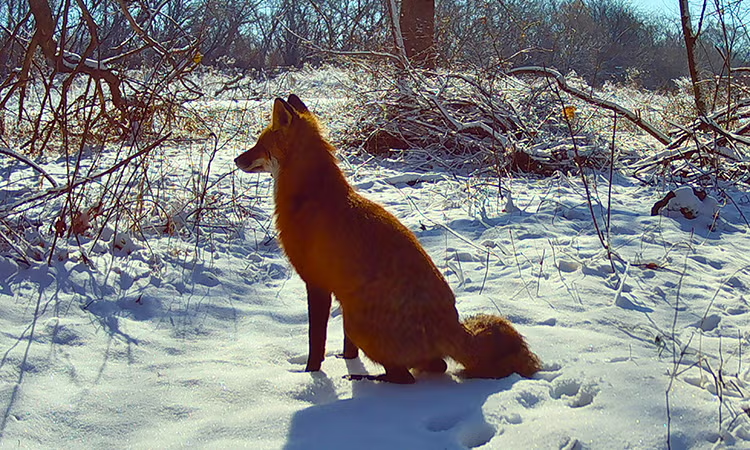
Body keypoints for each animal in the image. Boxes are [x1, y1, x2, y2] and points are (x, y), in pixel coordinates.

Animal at [235, 94, 542, 384]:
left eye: (259, 143)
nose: (237, 159)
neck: (310, 197)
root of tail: (451, 324)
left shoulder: (317, 284)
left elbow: (315, 344)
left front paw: (312, 376)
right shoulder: (339, 293)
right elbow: (347, 348)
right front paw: (345, 361)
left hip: (357, 320)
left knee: (406, 377)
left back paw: (368, 379)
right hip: (354, 313)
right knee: (437, 366)